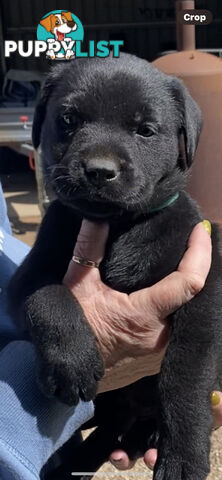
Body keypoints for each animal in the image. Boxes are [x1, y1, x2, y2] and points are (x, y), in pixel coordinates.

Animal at [8, 54, 222, 480]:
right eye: (69, 119)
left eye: (146, 130)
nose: (100, 170)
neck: (119, 227)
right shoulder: (27, 276)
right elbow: (48, 297)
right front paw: (73, 362)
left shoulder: (202, 295)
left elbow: (185, 377)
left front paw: (184, 458)